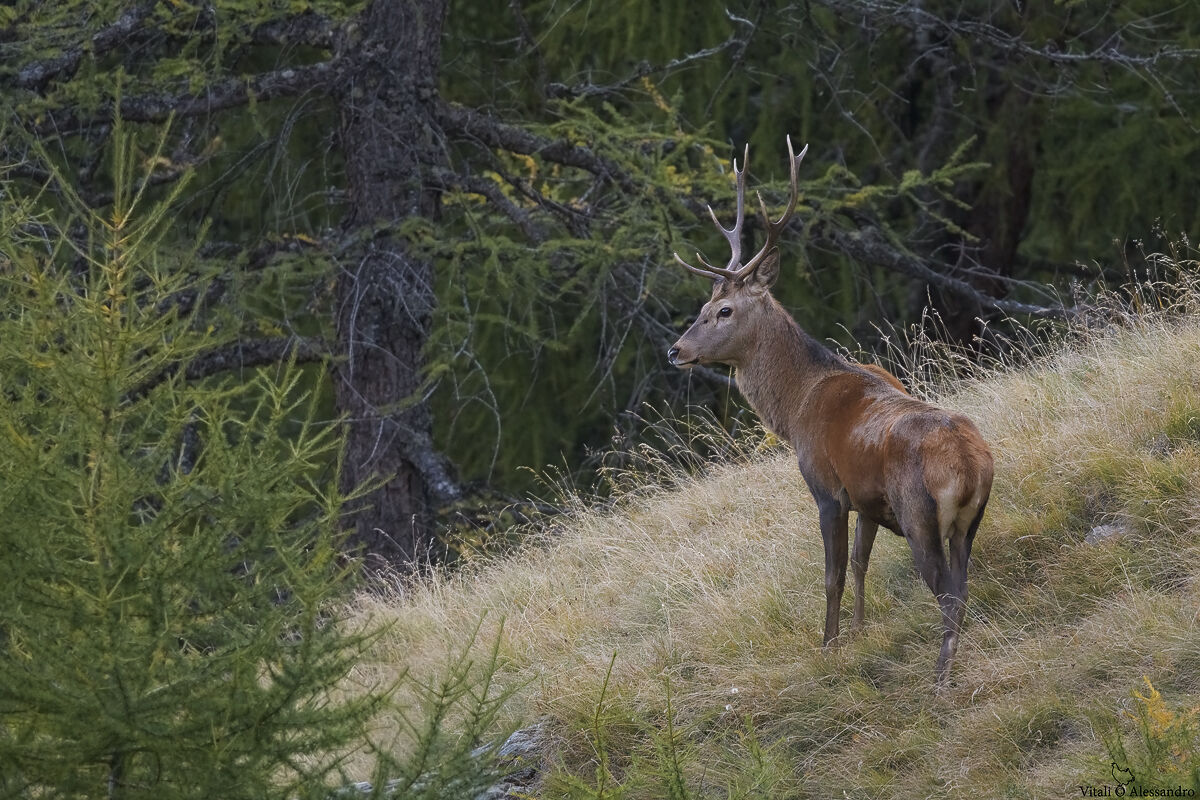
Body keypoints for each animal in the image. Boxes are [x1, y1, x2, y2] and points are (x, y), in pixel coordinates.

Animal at [666, 138, 994, 686]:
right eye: (702, 308)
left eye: (723, 311)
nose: (675, 351)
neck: (797, 403)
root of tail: (971, 467)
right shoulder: (865, 498)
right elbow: (860, 563)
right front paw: (860, 633)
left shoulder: (827, 488)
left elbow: (833, 575)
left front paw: (828, 646)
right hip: (967, 525)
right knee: (963, 588)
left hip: (920, 516)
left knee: (948, 595)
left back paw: (940, 677)